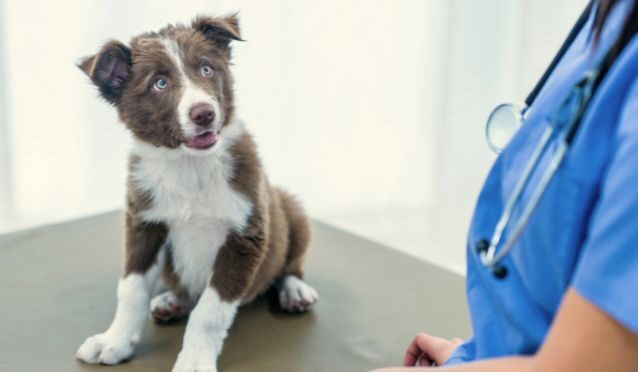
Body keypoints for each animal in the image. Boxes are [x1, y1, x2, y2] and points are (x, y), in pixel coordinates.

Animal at [75, 14, 320, 372]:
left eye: (206, 69)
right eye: (159, 84)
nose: (204, 113)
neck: (188, 167)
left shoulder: (245, 236)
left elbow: (208, 312)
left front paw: (193, 361)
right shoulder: (144, 225)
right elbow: (131, 290)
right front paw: (114, 341)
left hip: (292, 210)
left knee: (289, 265)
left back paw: (295, 290)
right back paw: (172, 301)